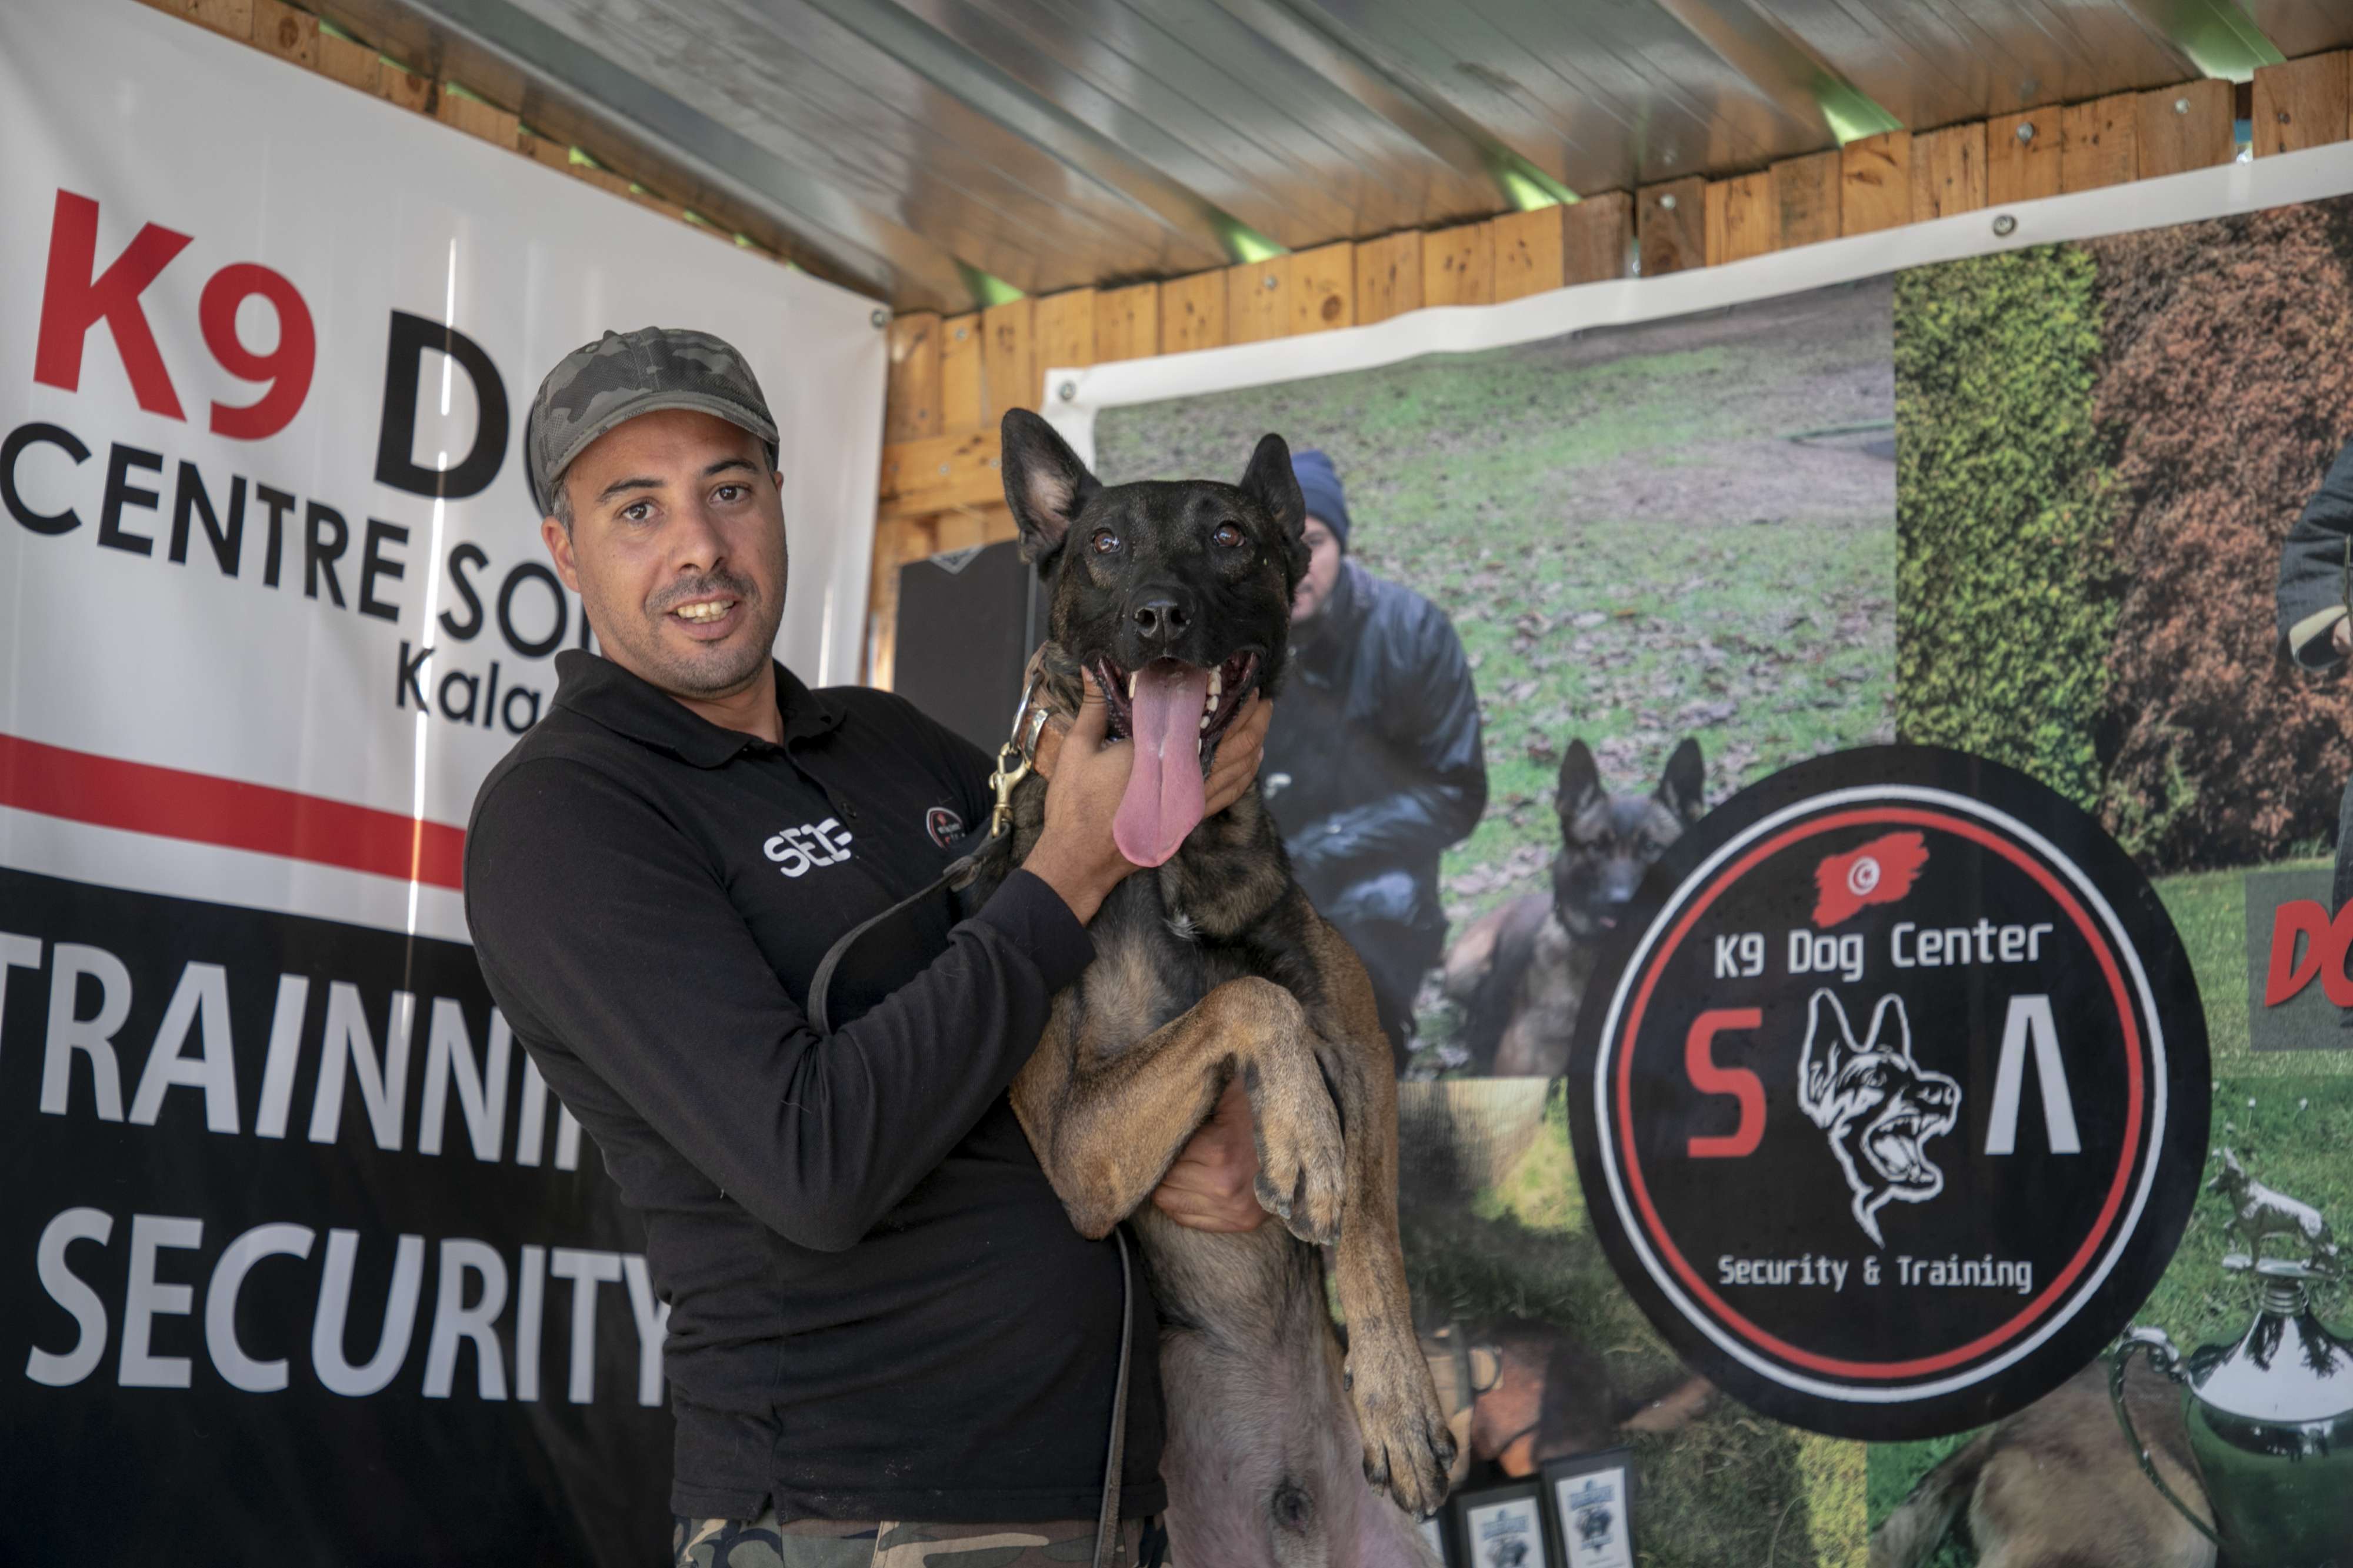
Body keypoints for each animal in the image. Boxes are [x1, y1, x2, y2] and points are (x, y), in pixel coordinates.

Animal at [976, 409, 1453, 1566]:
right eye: (1104, 544)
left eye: (1231, 536)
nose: (1160, 613)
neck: (1174, 859)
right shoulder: (1075, 1145)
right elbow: (1246, 1002)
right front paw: (1302, 1141)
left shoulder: (1363, 1048)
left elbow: (1371, 1223)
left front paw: (1402, 1401)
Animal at [2209, 1148, 2339, 1268]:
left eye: (2221, 1177)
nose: (2208, 1187)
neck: (2247, 1195)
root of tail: (2321, 1219)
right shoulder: (2240, 1221)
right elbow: (2227, 1227)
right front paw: (2233, 1245)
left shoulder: (2254, 1235)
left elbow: (2255, 1252)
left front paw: (2251, 1264)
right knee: (2319, 1254)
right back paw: (2310, 1266)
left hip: (2310, 1240)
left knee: (2328, 1254)